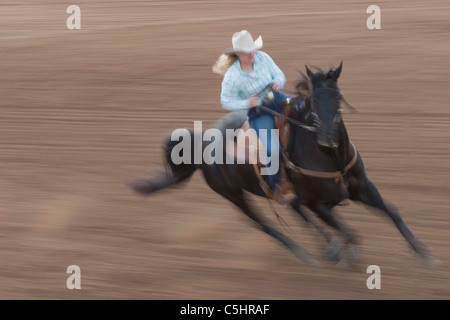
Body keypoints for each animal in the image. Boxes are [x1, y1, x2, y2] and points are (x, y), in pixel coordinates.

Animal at [131, 62, 436, 268]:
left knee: (297, 215)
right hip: (234, 196)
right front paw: (349, 253)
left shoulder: (362, 188)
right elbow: (350, 231)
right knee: (266, 226)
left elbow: (392, 212)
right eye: (314, 99)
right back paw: (303, 253)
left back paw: (327, 248)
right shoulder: (318, 203)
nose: (327, 137)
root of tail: (202, 140)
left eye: (338, 96)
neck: (329, 157)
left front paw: (424, 253)